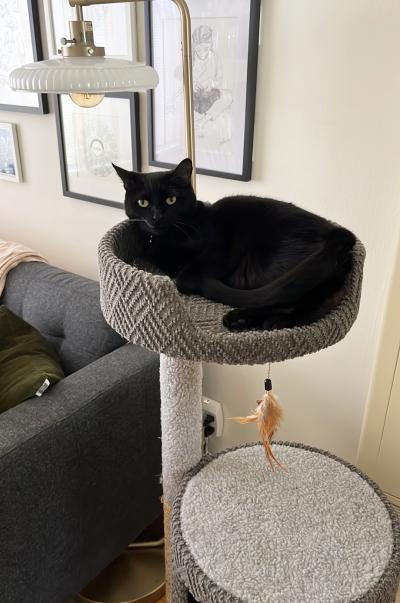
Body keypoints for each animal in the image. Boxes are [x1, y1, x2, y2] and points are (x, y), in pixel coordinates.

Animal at [112, 158, 356, 332]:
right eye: (143, 202)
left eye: (171, 200)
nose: (156, 217)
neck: (168, 238)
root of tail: (337, 232)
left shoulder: (218, 251)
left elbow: (183, 278)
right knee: (315, 301)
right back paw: (270, 321)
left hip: (270, 264)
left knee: (281, 295)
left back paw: (242, 318)